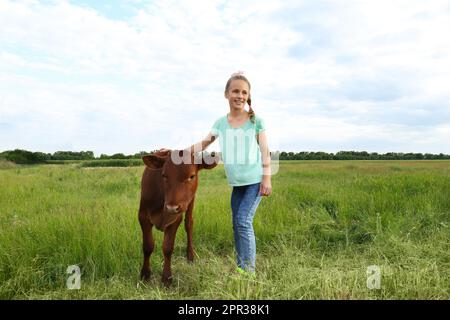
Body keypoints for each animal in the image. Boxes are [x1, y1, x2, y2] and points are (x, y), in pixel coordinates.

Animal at [139, 149, 220, 286]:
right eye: (164, 175)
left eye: (191, 176)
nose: (172, 207)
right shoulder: (143, 217)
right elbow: (147, 246)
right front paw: (145, 275)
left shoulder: (175, 220)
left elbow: (167, 248)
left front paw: (166, 278)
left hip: (190, 202)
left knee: (189, 224)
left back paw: (190, 255)